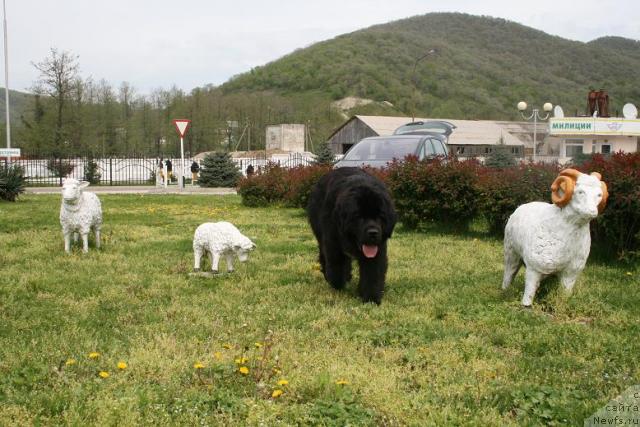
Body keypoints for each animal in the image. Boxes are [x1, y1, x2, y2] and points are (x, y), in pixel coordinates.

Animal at [308, 167, 398, 304]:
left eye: (380, 217)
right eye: (359, 217)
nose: (373, 233)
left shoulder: (378, 250)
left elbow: (373, 272)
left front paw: (371, 298)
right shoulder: (333, 243)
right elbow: (336, 266)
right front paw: (337, 284)